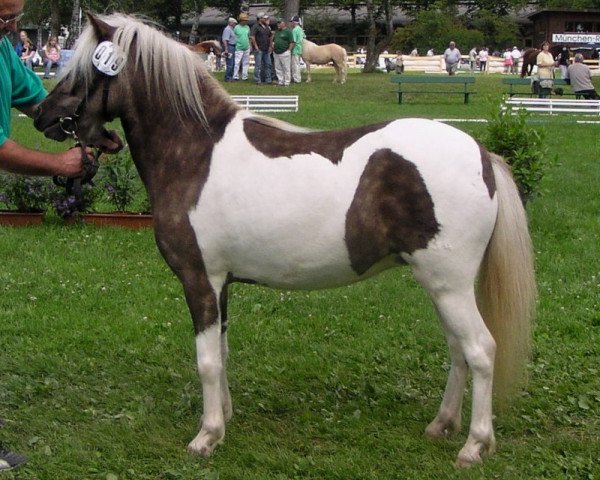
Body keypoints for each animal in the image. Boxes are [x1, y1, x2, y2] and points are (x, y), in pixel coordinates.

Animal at [35, 14, 536, 468]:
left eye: (83, 71)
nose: (41, 115)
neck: (196, 151)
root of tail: (482, 154)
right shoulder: (222, 284)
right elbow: (222, 351)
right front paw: (225, 419)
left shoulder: (200, 280)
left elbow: (206, 360)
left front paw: (206, 436)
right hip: (442, 285)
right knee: (458, 350)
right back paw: (442, 425)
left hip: (449, 284)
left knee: (480, 351)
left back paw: (474, 445)